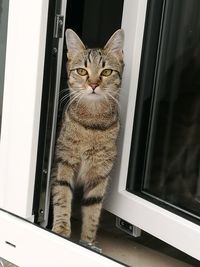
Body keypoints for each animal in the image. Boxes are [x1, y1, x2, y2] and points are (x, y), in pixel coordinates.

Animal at [50, 28, 124, 245]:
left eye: (106, 72)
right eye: (82, 71)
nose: (92, 84)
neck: (92, 123)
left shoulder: (100, 174)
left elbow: (92, 211)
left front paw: (88, 242)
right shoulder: (63, 162)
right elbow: (62, 195)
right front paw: (61, 229)